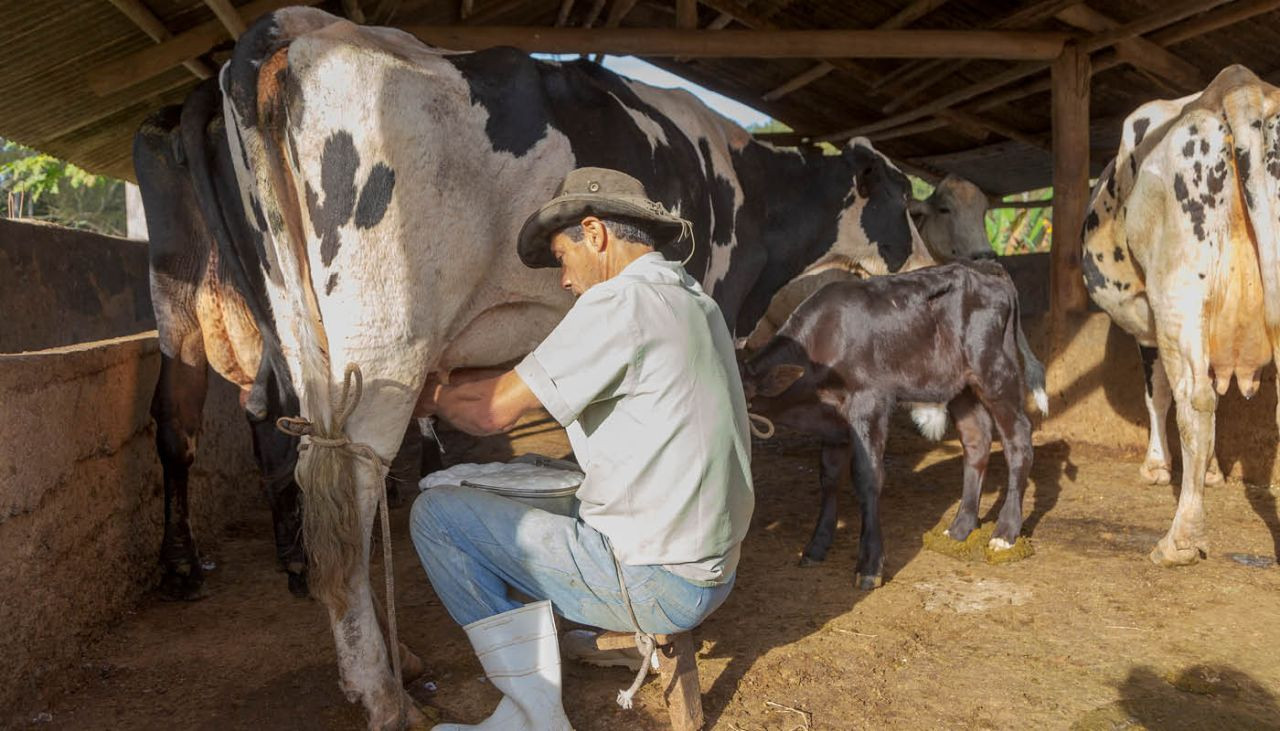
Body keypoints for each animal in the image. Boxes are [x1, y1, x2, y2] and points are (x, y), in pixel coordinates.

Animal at [220, 7, 936, 727]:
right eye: (905, 203)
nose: (930, 269)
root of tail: (305, 29)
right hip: (381, 344)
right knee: (348, 503)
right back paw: (382, 693)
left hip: (305, 343)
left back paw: (407, 663)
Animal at [742, 261, 1049, 588]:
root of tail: (985, 266)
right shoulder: (833, 421)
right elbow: (829, 477)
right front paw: (816, 546)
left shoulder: (869, 402)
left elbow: (867, 477)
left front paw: (870, 564)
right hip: (960, 387)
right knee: (976, 441)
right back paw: (959, 528)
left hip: (995, 372)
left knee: (1018, 440)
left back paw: (1005, 533)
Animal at [1080, 64, 1280, 565]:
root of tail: (1240, 86)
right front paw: (1210, 473)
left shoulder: (1149, 325)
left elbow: (1158, 394)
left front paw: (1156, 467)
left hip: (1177, 291)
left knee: (1194, 399)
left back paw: (1181, 539)